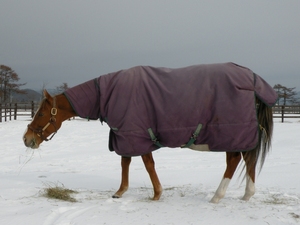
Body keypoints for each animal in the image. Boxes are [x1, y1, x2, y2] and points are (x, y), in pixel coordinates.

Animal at [22, 62, 278, 203]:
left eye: (41, 113)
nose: (26, 139)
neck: (107, 94)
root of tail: (253, 80)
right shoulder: (127, 134)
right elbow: (126, 162)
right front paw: (120, 192)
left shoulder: (137, 134)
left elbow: (145, 164)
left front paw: (156, 194)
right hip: (238, 136)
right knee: (248, 159)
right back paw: (247, 195)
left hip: (229, 135)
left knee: (234, 161)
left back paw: (217, 197)